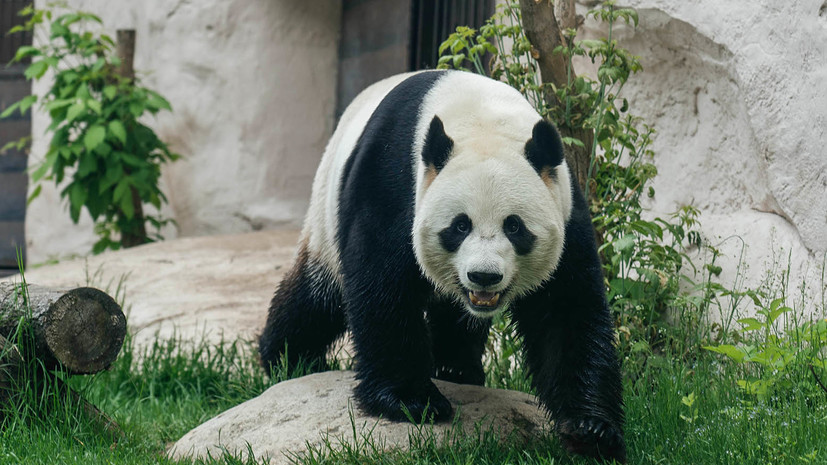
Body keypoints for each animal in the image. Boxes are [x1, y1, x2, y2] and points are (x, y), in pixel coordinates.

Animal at [262, 69, 624, 460]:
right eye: (460, 225)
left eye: (514, 226)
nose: (483, 276)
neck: (482, 118)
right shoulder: (395, 183)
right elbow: (382, 288)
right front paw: (412, 402)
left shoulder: (565, 209)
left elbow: (566, 312)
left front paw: (590, 429)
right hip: (325, 212)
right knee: (318, 296)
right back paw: (289, 359)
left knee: (455, 316)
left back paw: (457, 369)